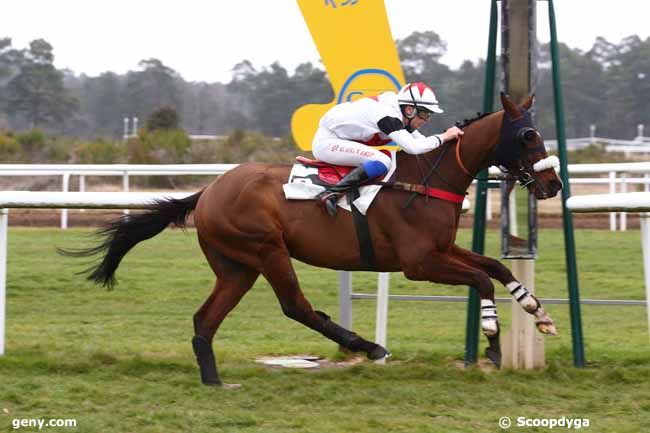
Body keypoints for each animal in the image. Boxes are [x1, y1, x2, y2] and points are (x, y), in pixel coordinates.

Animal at [64, 92, 560, 384]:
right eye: (528, 134)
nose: (553, 184)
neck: (426, 178)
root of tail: (209, 191)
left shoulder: (441, 249)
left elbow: (494, 267)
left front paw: (538, 312)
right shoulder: (419, 263)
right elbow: (480, 281)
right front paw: (493, 344)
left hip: (236, 267)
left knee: (205, 319)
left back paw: (213, 379)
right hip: (266, 250)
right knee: (296, 307)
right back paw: (368, 346)